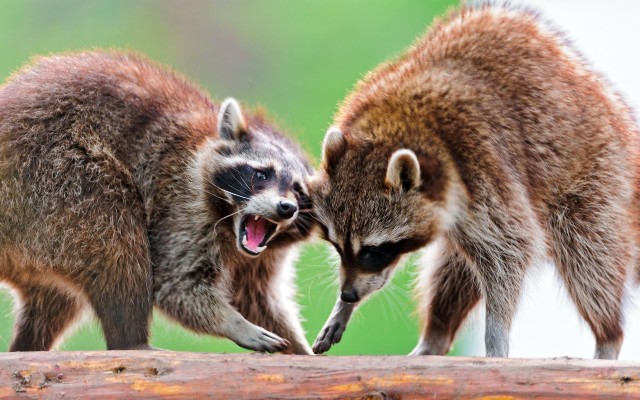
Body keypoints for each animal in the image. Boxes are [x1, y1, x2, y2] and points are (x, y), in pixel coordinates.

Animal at [0, 51, 315, 354]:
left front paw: (299, 348)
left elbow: (256, 298)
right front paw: (234, 322)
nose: (286, 208)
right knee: (117, 241)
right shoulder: (181, 199)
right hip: (56, 179)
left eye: (299, 192)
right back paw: (130, 340)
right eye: (262, 174)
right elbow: (175, 284)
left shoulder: (264, 256)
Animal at [311, 6, 640, 359]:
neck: (399, 122)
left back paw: (608, 335)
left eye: (375, 251)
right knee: (453, 273)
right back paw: (436, 334)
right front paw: (344, 307)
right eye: (337, 246)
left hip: (595, 177)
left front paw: (496, 334)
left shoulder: (482, 166)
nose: (348, 295)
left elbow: (512, 248)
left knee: (590, 262)